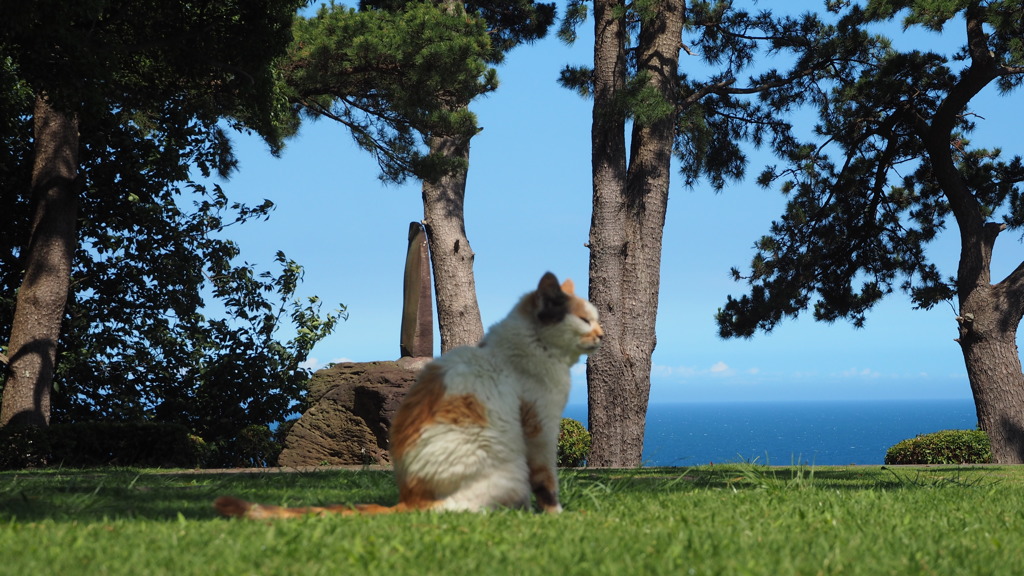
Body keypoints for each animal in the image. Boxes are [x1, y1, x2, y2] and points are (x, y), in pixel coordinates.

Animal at [216, 268, 598, 516]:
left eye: (595, 319)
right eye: (584, 320)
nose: (602, 334)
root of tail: (408, 498)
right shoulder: (539, 426)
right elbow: (547, 480)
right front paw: (558, 517)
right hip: (505, 467)